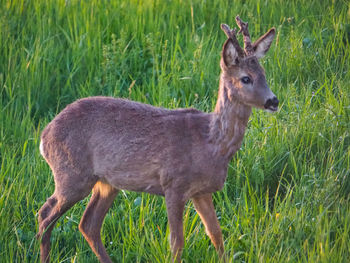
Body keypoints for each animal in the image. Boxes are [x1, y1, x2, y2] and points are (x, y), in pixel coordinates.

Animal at [37, 16, 278, 263]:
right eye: (245, 78)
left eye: (264, 74)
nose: (273, 101)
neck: (211, 144)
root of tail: (44, 137)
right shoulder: (173, 184)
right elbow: (177, 243)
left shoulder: (202, 191)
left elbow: (216, 233)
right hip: (72, 175)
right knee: (45, 215)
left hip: (106, 183)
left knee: (88, 224)